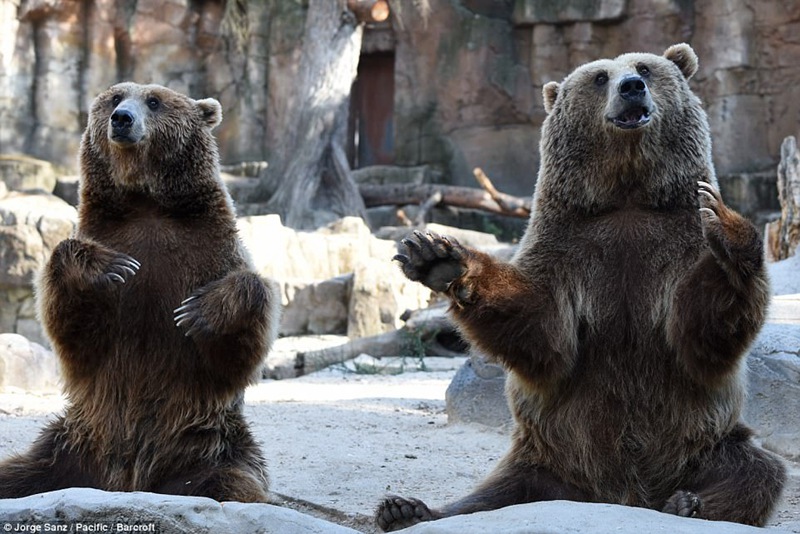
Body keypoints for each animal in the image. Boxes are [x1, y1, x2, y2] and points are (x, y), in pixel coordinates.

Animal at [0, 81, 282, 504]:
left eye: (154, 101)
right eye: (115, 98)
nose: (122, 119)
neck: (147, 203)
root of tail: (127, 481)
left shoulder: (212, 252)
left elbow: (237, 345)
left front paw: (197, 312)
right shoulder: (108, 237)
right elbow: (70, 323)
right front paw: (111, 268)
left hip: (211, 444)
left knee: (233, 482)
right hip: (69, 443)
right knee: (17, 474)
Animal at [378, 43, 784, 532]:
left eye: (645, 67)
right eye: (600, 77)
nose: (632, 88)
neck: (627, 195)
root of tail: (620, 495)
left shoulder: (673, 246)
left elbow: (700, 334)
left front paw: (724, 222)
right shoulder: (570, 248)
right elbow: (543, 333)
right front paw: (438, 257)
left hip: (702, 443)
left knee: (757, 471)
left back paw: (689, 502)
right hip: (548, 455)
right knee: (496, 494)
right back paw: (407, 508)